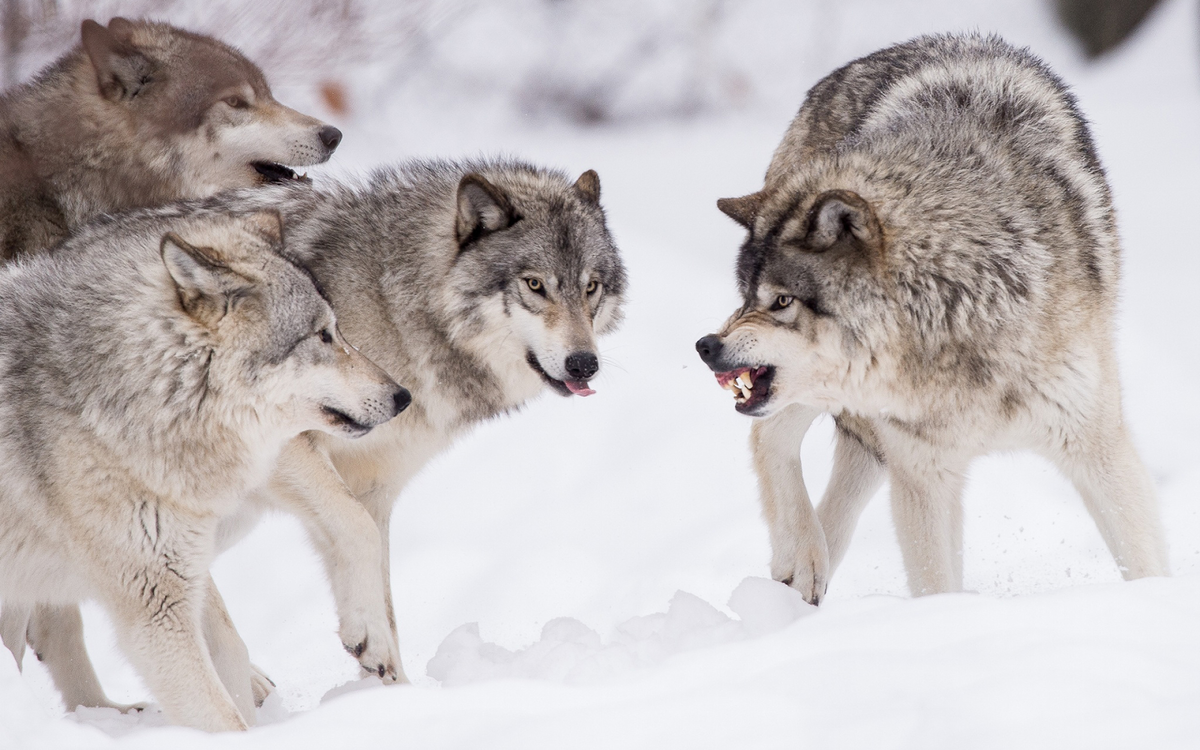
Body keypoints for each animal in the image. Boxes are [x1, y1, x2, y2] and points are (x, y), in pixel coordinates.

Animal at [0, 207, 408, 729]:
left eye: (335, 329)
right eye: (323, 334)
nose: (403, 397)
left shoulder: (182, 559)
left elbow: (231, 650)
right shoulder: (155, 609)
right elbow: (220, 712)